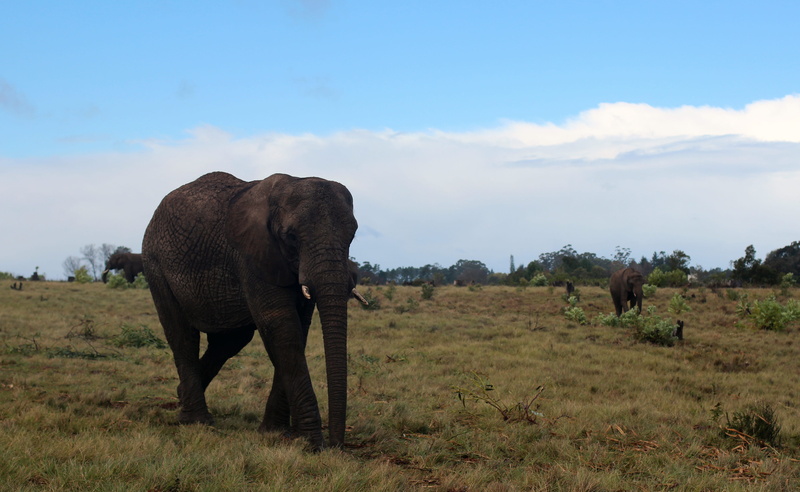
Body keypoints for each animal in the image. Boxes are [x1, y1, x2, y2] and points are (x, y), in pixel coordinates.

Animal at [141, 171, 365, 451]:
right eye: (291, 237)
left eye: (352, 236)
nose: (336, 446)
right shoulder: (251, 256)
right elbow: (282, 327)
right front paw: (311, 443)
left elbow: (298, 330)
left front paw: (276, 433)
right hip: (155, 262)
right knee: (181, 335)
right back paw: (197, 421)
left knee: (230, 341)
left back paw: (181, 396)